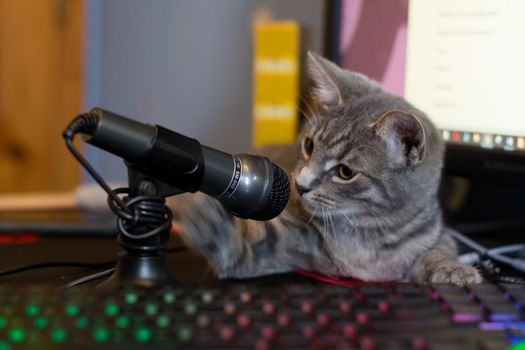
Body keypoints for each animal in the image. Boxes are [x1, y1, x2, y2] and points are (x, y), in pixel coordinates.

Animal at [170, 52, 482, 288]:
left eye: (345, 172)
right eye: (309, 145)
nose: (300, 185)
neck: (367, 238)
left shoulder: (434, 235)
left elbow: (438, 250)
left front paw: (453, 269)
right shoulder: (271, 246)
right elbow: (235, 246)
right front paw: (195, 207)